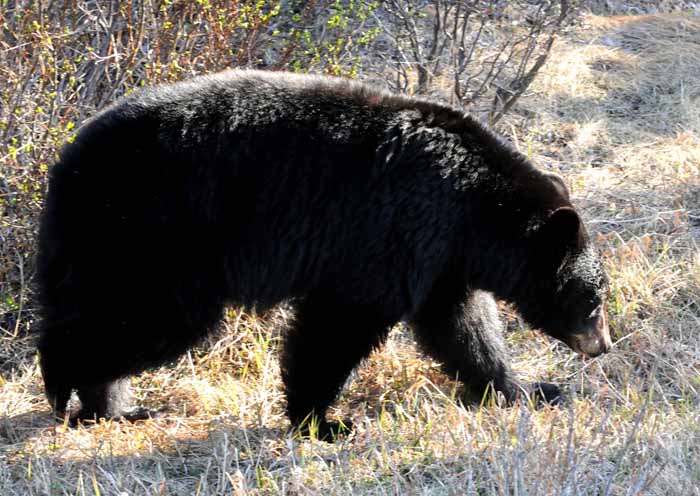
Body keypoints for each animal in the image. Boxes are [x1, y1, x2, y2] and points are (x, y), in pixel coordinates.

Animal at [35, 70, 608, 438]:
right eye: (594, 299)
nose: (601, 346)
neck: (472, 205)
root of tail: (68, 162)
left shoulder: (438, 256)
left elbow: (461, 327)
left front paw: (526, 389)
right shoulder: (392, 229)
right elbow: (339, 323)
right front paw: (323, 422)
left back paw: (114, 408)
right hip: (154, 236)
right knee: (136, 323)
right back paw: (67, 388)